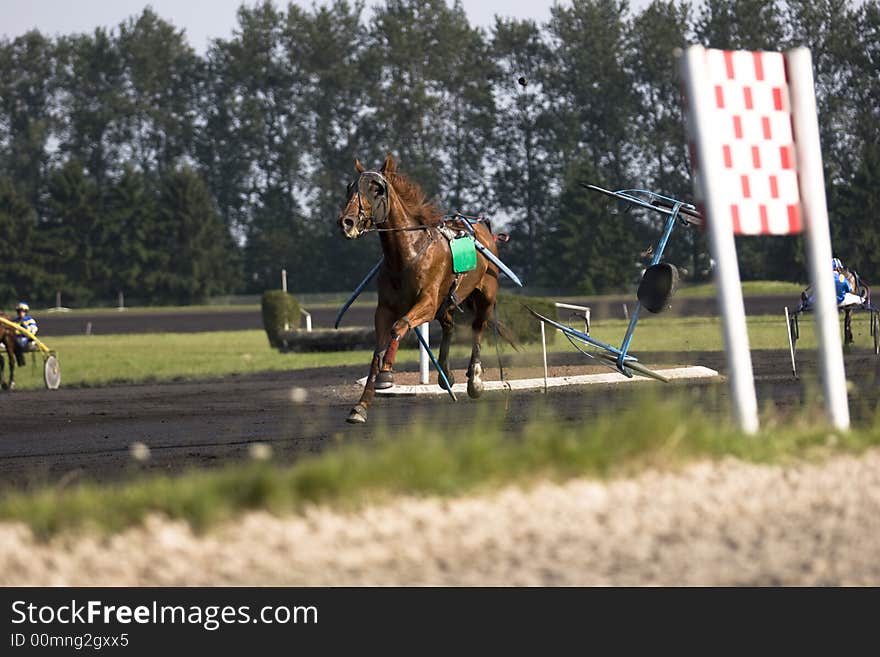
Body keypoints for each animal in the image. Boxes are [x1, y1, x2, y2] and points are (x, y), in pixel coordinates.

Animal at [338, 154, 516, 422]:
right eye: (350, 188)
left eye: (376, 189)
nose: (346, 222)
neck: (406, 254)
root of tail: (483, 229)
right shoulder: (385, 308)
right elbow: (376, 352)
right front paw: (361, 405)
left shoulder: (427, 303)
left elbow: (399, 326)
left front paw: (386, 374)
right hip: (447, 301)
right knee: (450, 326)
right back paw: (446, 375)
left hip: (485, 294)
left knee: (478, 327)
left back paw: (474, 380)